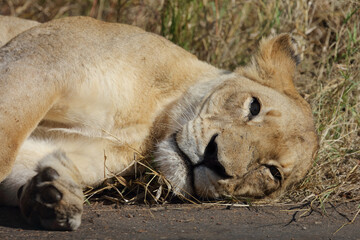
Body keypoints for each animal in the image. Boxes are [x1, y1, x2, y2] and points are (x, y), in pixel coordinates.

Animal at [0, 15, 316, 230]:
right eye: (254, 107)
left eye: (272, 173)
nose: (215, 159)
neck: (151, 122)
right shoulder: (45, 57)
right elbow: (7, 142)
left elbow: (18, 167)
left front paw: (52, 197)